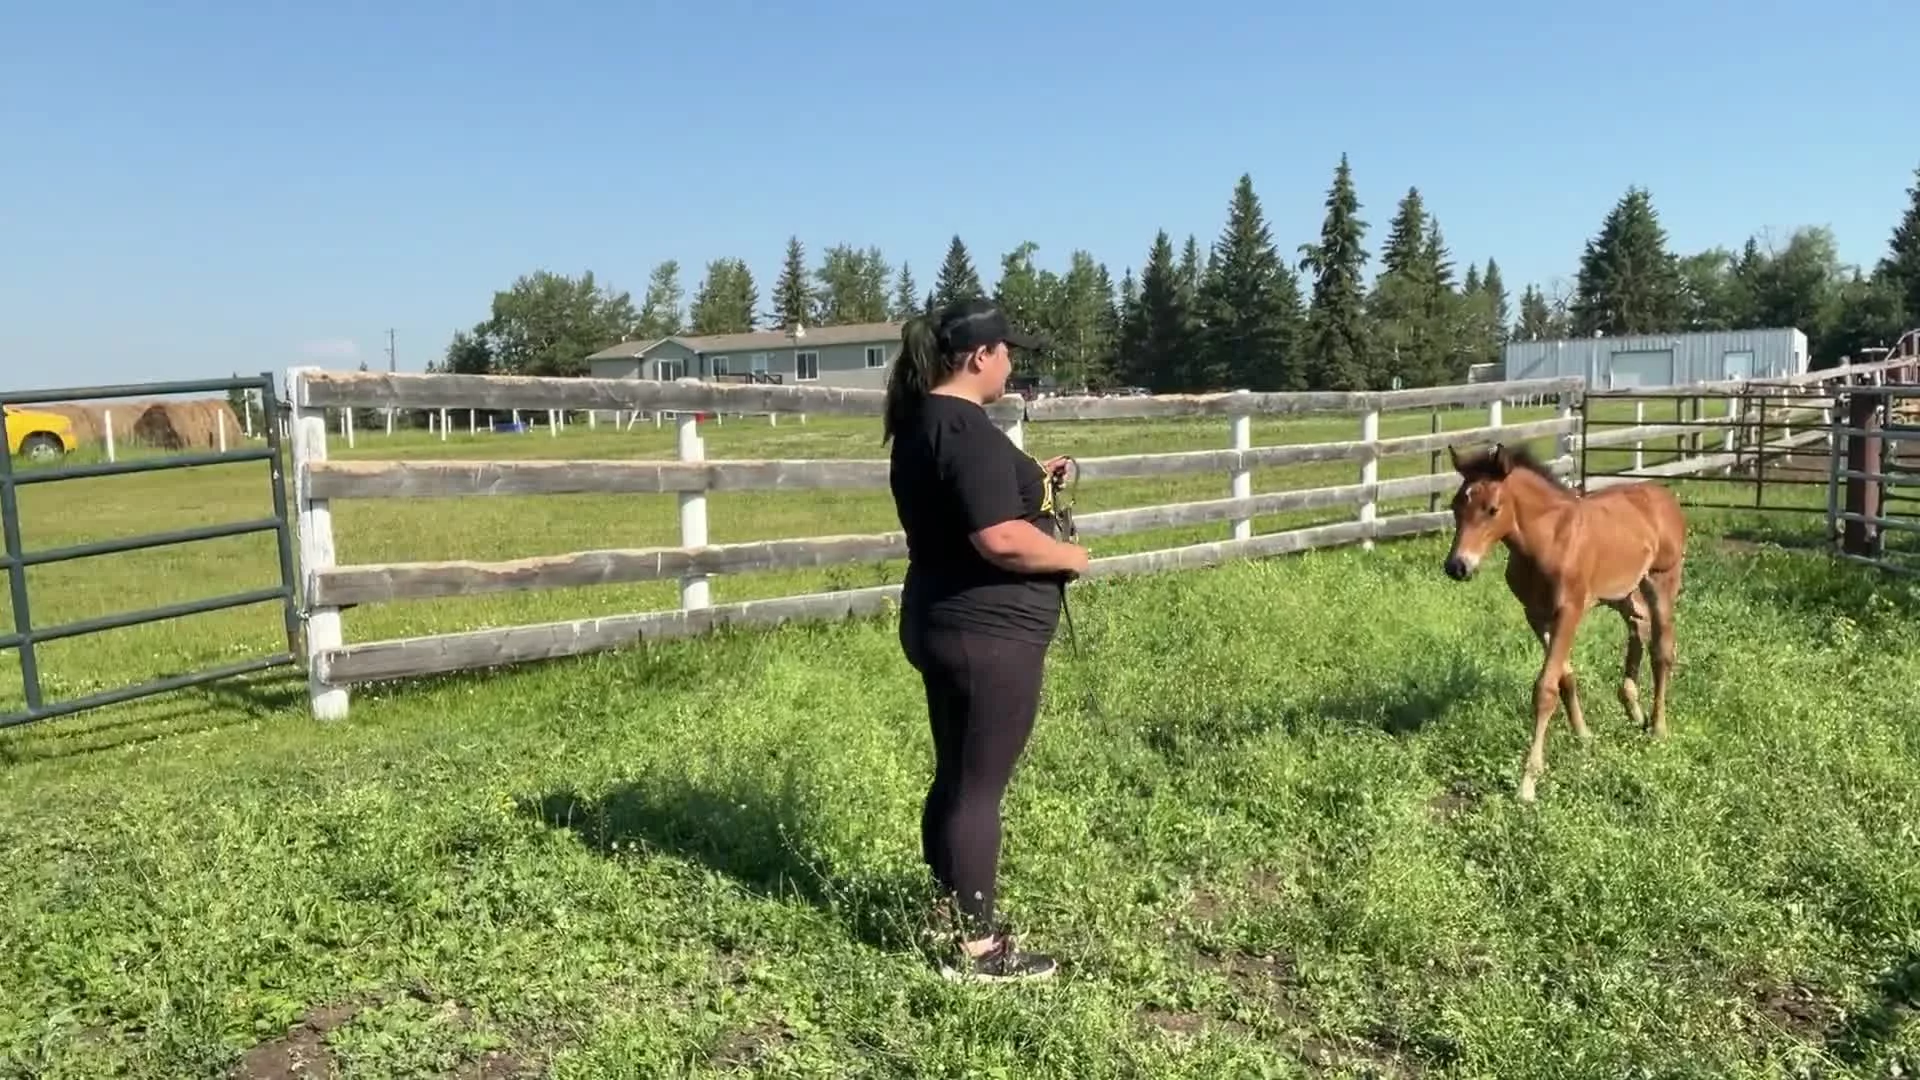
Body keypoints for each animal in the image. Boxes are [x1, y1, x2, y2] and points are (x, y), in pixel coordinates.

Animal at [1442, 442, 1687, 803]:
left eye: (1492, 509)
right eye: (1456, 506)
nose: (1457, 567)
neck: (1549, 540)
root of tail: (1664, 496)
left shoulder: (1568, 612)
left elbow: (1545, 688)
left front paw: (1528, 782)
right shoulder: (1536, 615)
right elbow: (1565, 679)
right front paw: (1584, 736)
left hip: (1662, 580)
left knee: (1662, 650)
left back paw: (1657, 727)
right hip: (1623, 590)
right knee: (1637, 624)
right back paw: (1633, 708)